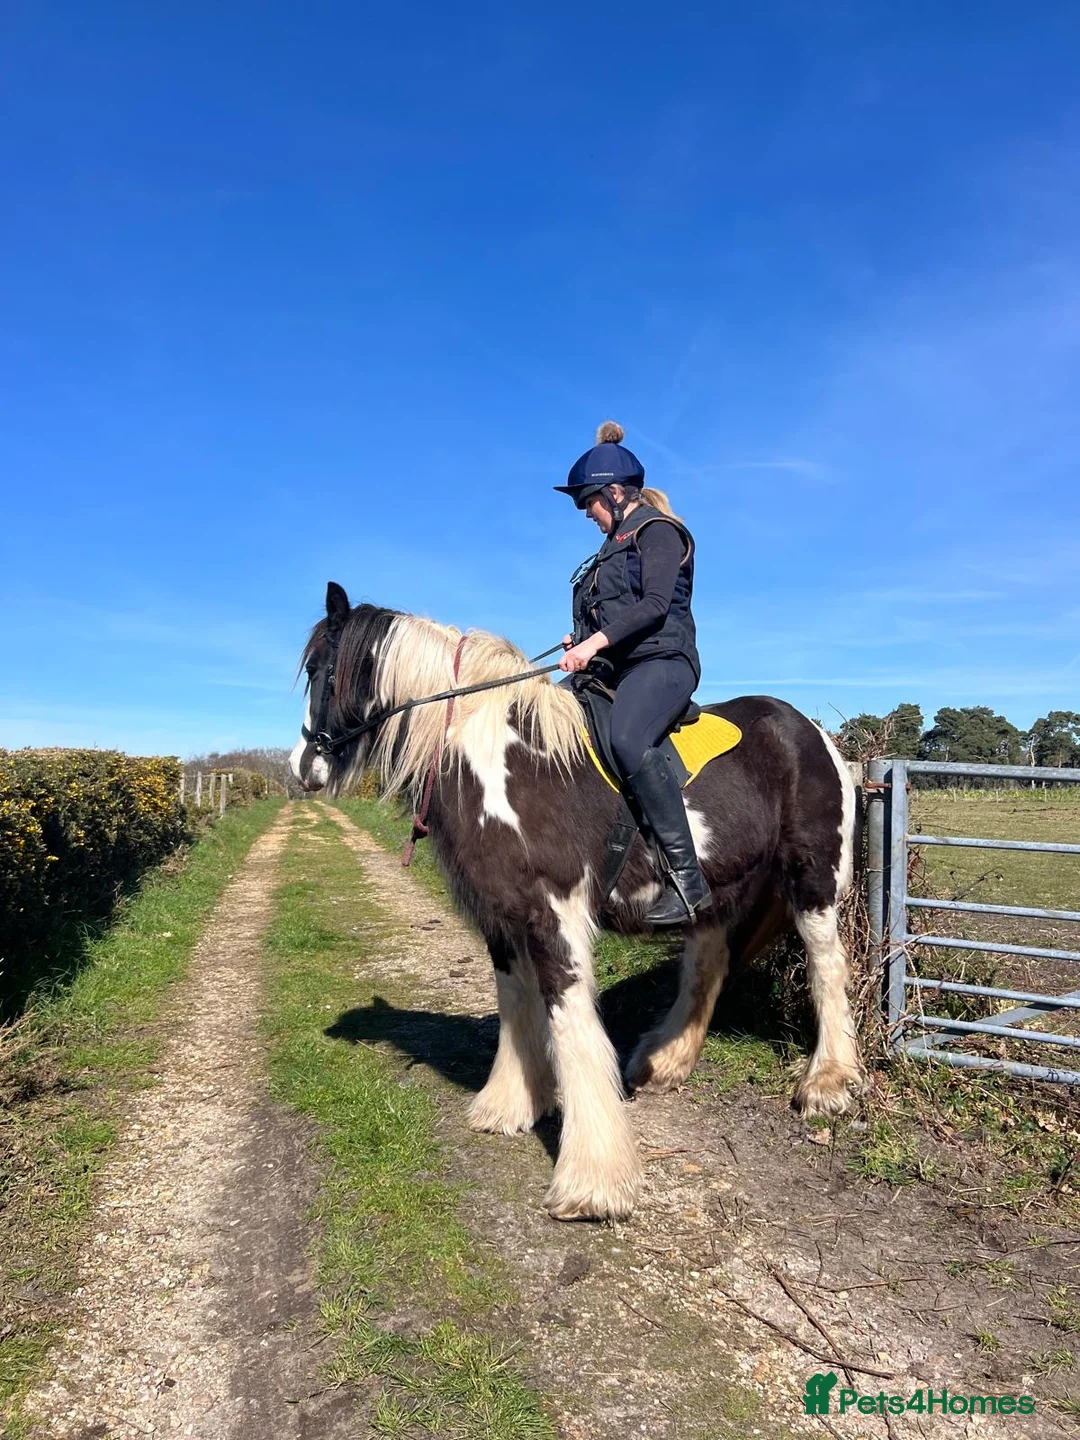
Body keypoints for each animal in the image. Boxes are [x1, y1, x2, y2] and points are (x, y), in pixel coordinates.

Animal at [290, 582, 863, 1221]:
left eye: (321, 670)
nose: (303, 768)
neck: (495, 757)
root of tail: (815, 733)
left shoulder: (553, 913)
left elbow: (570, 1024)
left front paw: (593, 1180)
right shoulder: (502, 917)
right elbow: (517, 1007)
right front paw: (509, 1106)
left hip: (813, 877)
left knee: (826, 964)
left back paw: (829, 1083)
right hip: (716, 889)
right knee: (707, 965)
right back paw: (664, 1062)